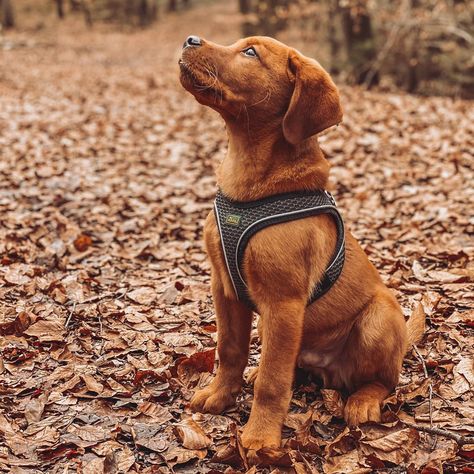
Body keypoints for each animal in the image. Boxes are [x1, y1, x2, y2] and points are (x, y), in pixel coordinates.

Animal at [179, 35, 426, 462]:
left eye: (250, 53)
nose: (190, 39)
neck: (249, 183)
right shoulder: (224, 287)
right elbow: (230, 350)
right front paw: (220, 395)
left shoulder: (283, 302)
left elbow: (273, 383)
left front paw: (260, 438)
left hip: (378, 317)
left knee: (384, 380)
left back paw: (363, 400)